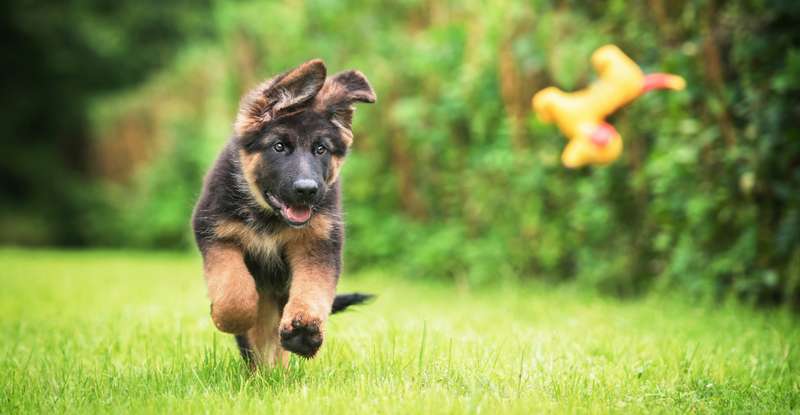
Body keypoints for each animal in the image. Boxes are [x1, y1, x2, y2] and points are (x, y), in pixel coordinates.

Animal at [191, 57, 376, 368]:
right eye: (279, 146)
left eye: (320, 149)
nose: (307, 190)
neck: (270, 218)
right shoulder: (216, 233)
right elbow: (233, 291)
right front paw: (230, 317)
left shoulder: (318, 244)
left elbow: (312, 289)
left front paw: (305, 331)